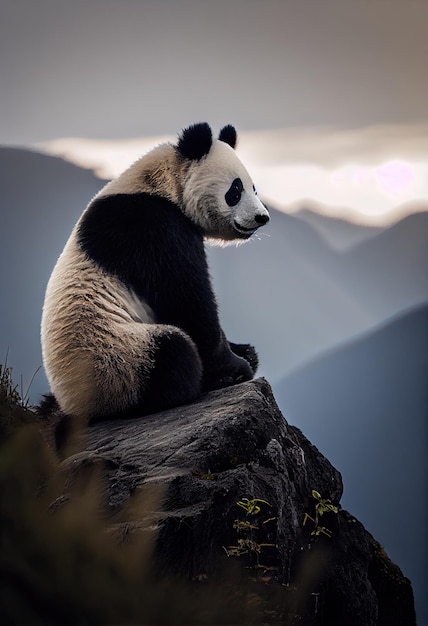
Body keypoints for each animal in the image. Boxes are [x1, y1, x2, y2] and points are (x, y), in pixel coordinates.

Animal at [40, 122, 268, 422]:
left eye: (254, 188)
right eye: (236, 190)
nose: (262, 217)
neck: (160, 183)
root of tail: (75, 408)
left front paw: (245, 350)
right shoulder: (151, 225)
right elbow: (187, 301)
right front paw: (234, 369)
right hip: (116, 358)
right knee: (170, 351)